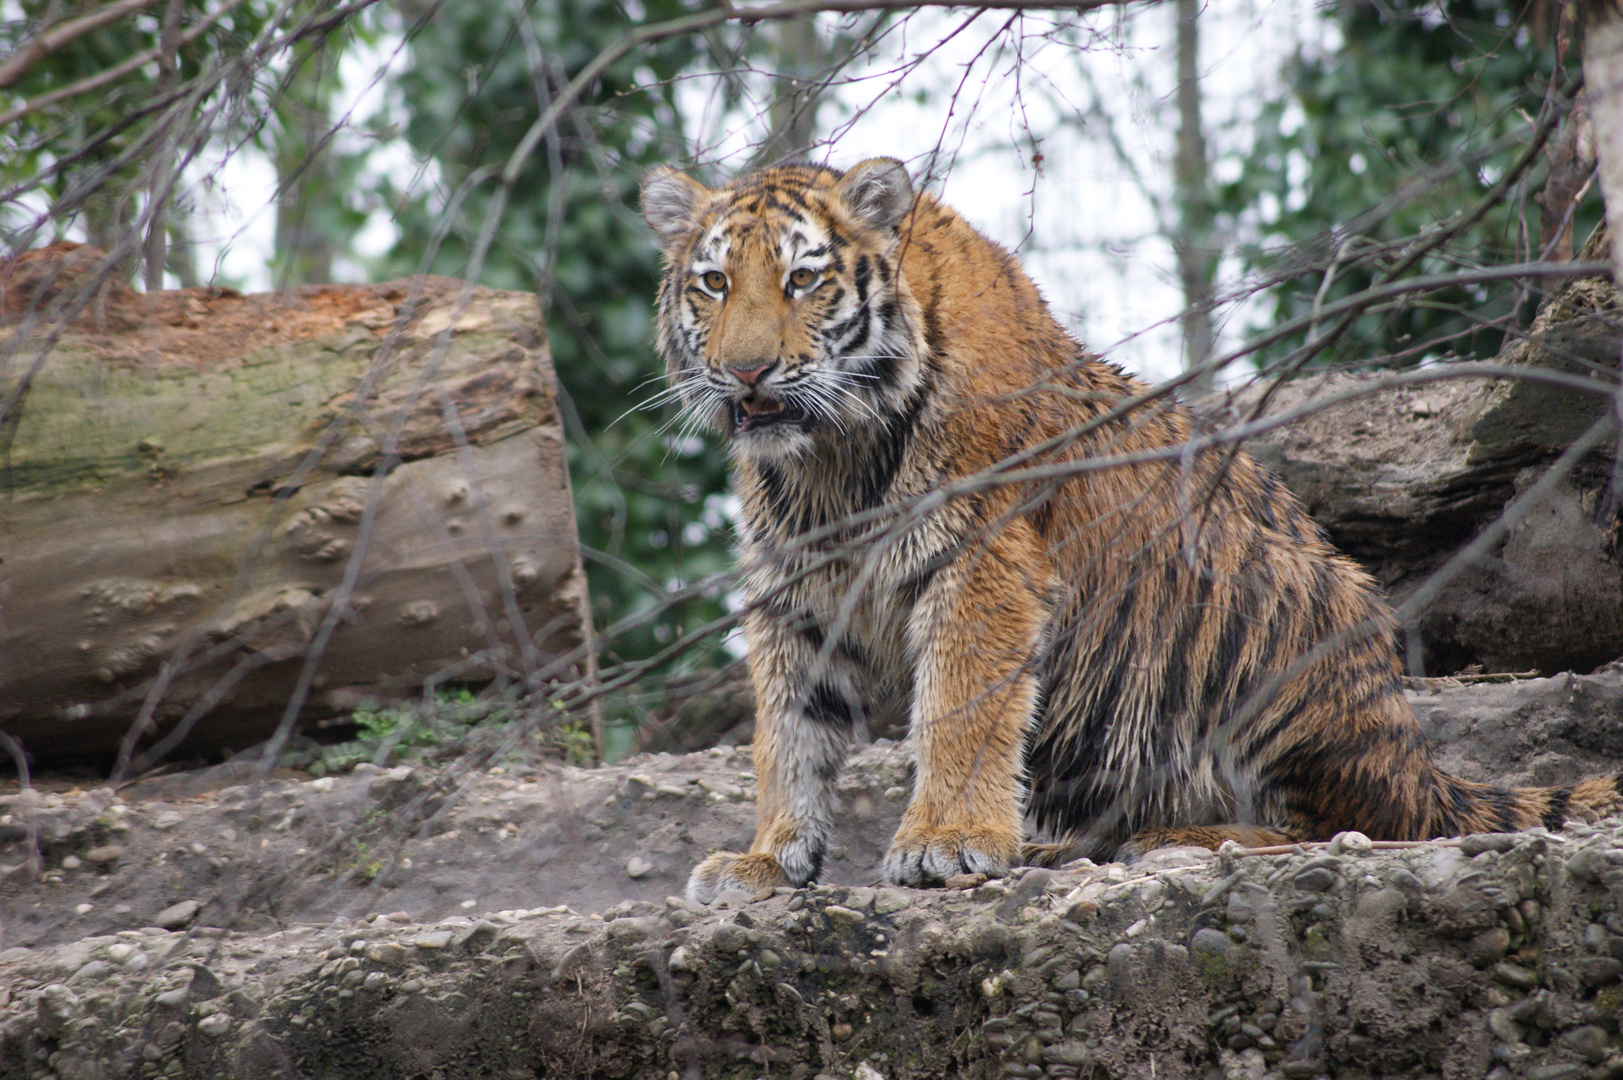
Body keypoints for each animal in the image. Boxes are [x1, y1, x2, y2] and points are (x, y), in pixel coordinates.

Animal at [636, 155, 1623, 896]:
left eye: (802, 279)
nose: (747, 372)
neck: (832, 459)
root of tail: (1417, 762)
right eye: (714, 283)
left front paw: (943, 842)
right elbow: (787, 733)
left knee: (1357, 827)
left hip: (1279, 607)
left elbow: (958, 707)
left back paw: (1184, 841)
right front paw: (768, 858)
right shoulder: (793, 592)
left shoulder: (980, 562)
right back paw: (1057, 844)